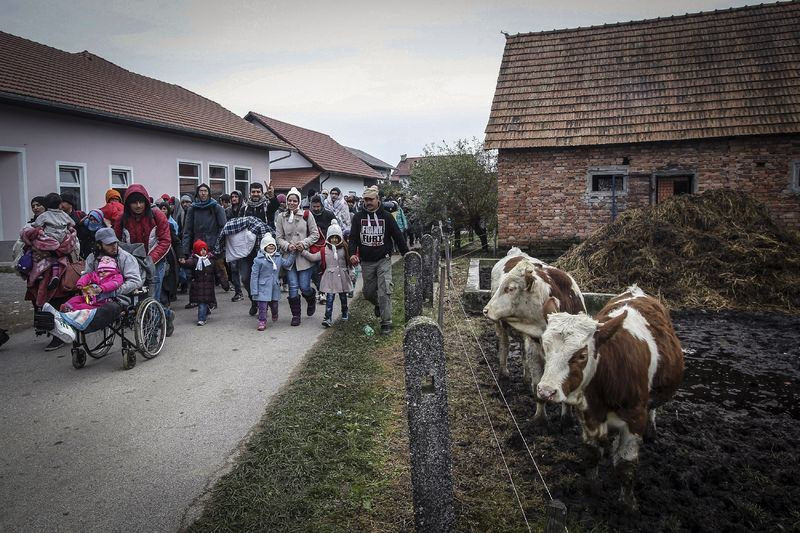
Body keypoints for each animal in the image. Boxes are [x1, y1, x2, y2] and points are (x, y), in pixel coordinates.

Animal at [482, 250, 588, 424]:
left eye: (510, 288)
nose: (486, 309)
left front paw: (566, 418)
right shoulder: (535, 349)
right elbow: (538, 385)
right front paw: (540, 419)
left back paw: (526, 378)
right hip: (501, 327)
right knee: (504, 347)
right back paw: (504, 374)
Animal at [536, 284, 684, 510]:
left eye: (581, 355)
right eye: (545, 347)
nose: (546, 391)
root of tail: (636, 290)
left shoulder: (635, 419)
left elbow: (626, 463)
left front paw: (628, 504)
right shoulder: (588, 415)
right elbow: (592, 454)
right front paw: (591, 489)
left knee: (652, 409)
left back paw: (652, 431)